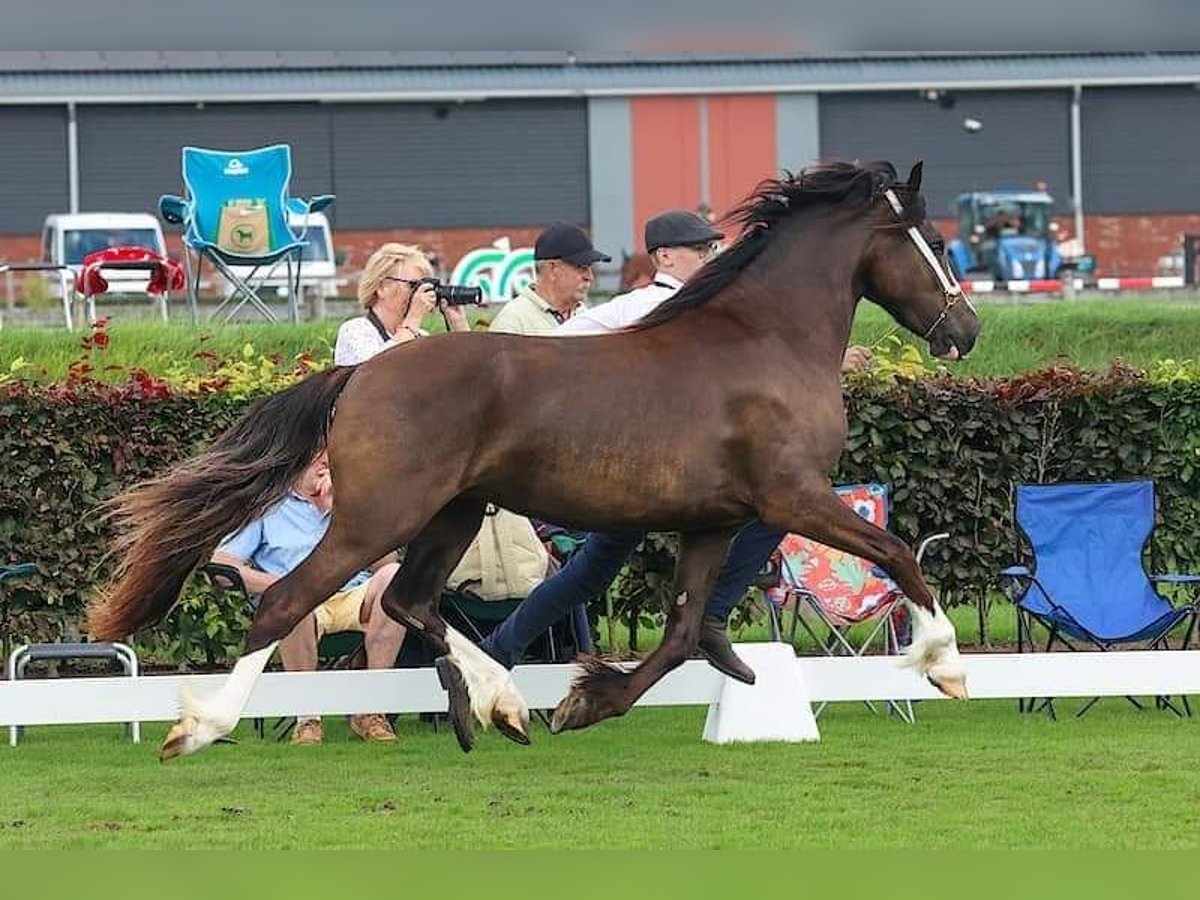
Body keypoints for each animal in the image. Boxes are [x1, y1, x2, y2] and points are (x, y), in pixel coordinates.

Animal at [91, 158, 974, 758]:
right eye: (934, 240)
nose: (964, 332)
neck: (766, 341)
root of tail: (362, 373)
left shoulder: (713, 522)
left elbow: (686, 629)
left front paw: (589, 700)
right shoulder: (792, 497)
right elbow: (899, 552)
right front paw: (945, 665)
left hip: (449, 515)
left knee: (411, 602)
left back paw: (502, 706)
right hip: (380, 518)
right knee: (287, 603)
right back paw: (200, 727)